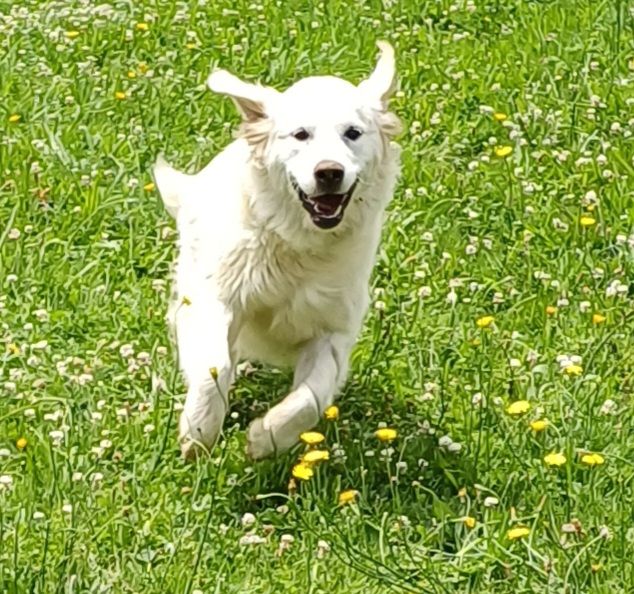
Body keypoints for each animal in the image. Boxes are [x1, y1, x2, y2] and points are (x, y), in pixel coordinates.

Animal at [154, 42, 400, 458]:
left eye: (353, 133)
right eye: (300, 135)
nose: (329, 172)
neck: (296, 244)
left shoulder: (332, 331)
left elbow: (311, 398)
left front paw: (265, 437)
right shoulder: (216, 298)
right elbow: (214, 366)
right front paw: (198, 431)